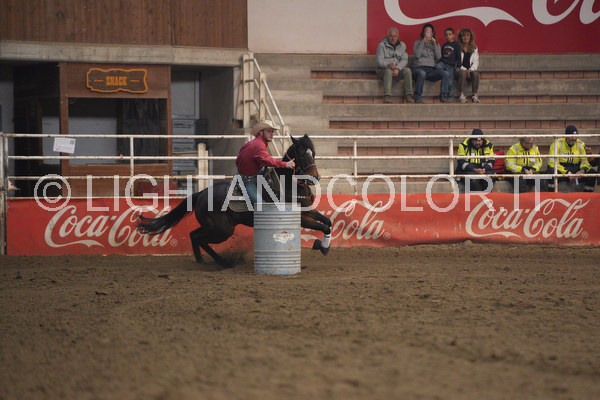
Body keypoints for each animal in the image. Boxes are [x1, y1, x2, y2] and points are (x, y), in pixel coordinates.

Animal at [137, 134, 332, 268]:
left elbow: (328, 222)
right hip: (223, 230)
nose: (315, 177)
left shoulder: (309, 211)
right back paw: (223, 262)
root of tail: (201, 194)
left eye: (313, 153)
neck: (289, 183)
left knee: (194, 235)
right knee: (200, 238)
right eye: (302, 154)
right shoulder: (301, 217)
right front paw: (322, 247)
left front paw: (322, 245)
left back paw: (203, 261)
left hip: (214, 226)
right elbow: (322, 226)